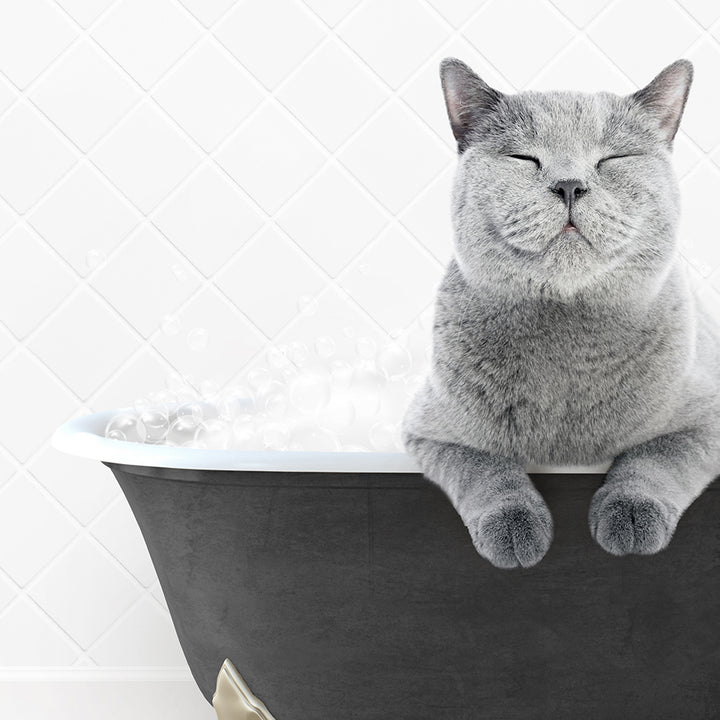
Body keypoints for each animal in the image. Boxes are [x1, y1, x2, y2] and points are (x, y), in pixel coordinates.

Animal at [400, 57, 720, 568]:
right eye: (523, 159)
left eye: (612, 159)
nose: (570, 185)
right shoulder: (432, 431)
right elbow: (485, 467)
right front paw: (515, 528)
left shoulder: (706, 417)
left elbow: (656, 457)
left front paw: (630, 516)